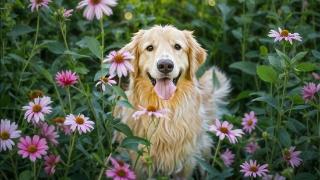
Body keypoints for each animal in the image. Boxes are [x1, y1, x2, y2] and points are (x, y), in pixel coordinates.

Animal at [115, 25, 230, 179]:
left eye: (177, 46)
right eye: (149, 48)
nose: (165, 65)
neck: (164, 108)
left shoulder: (187, 162)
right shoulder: (139, 160)